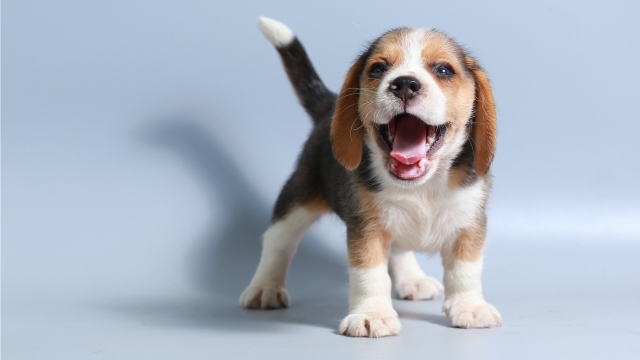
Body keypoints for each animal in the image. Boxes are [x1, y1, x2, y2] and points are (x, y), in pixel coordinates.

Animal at [240, 16, 500, 338]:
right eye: (378, 68)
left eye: (443, 70)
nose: (405, 84)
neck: (422, 187)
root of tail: (327, 109)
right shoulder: (367, 227)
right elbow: (370, 273)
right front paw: (371, 315)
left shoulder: (470, 222)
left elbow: (465, 269)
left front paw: (470, 307)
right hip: (298, 198)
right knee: (279, 240)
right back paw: (265, 287)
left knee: (398, 250)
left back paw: (412, 279)